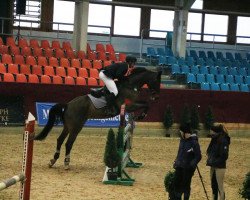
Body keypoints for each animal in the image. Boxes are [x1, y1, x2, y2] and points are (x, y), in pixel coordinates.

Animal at [33, 67, 162, 169]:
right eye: (157, 81)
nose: (156, 97)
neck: (130, 85)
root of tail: (68, 105)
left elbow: (145, 103)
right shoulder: (128, 106)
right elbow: (146, 104)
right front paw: (142, 115)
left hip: (68, 126)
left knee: (60, 140)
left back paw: (53, 161)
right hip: (76, 127)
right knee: (68, 143)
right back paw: (66, 163)